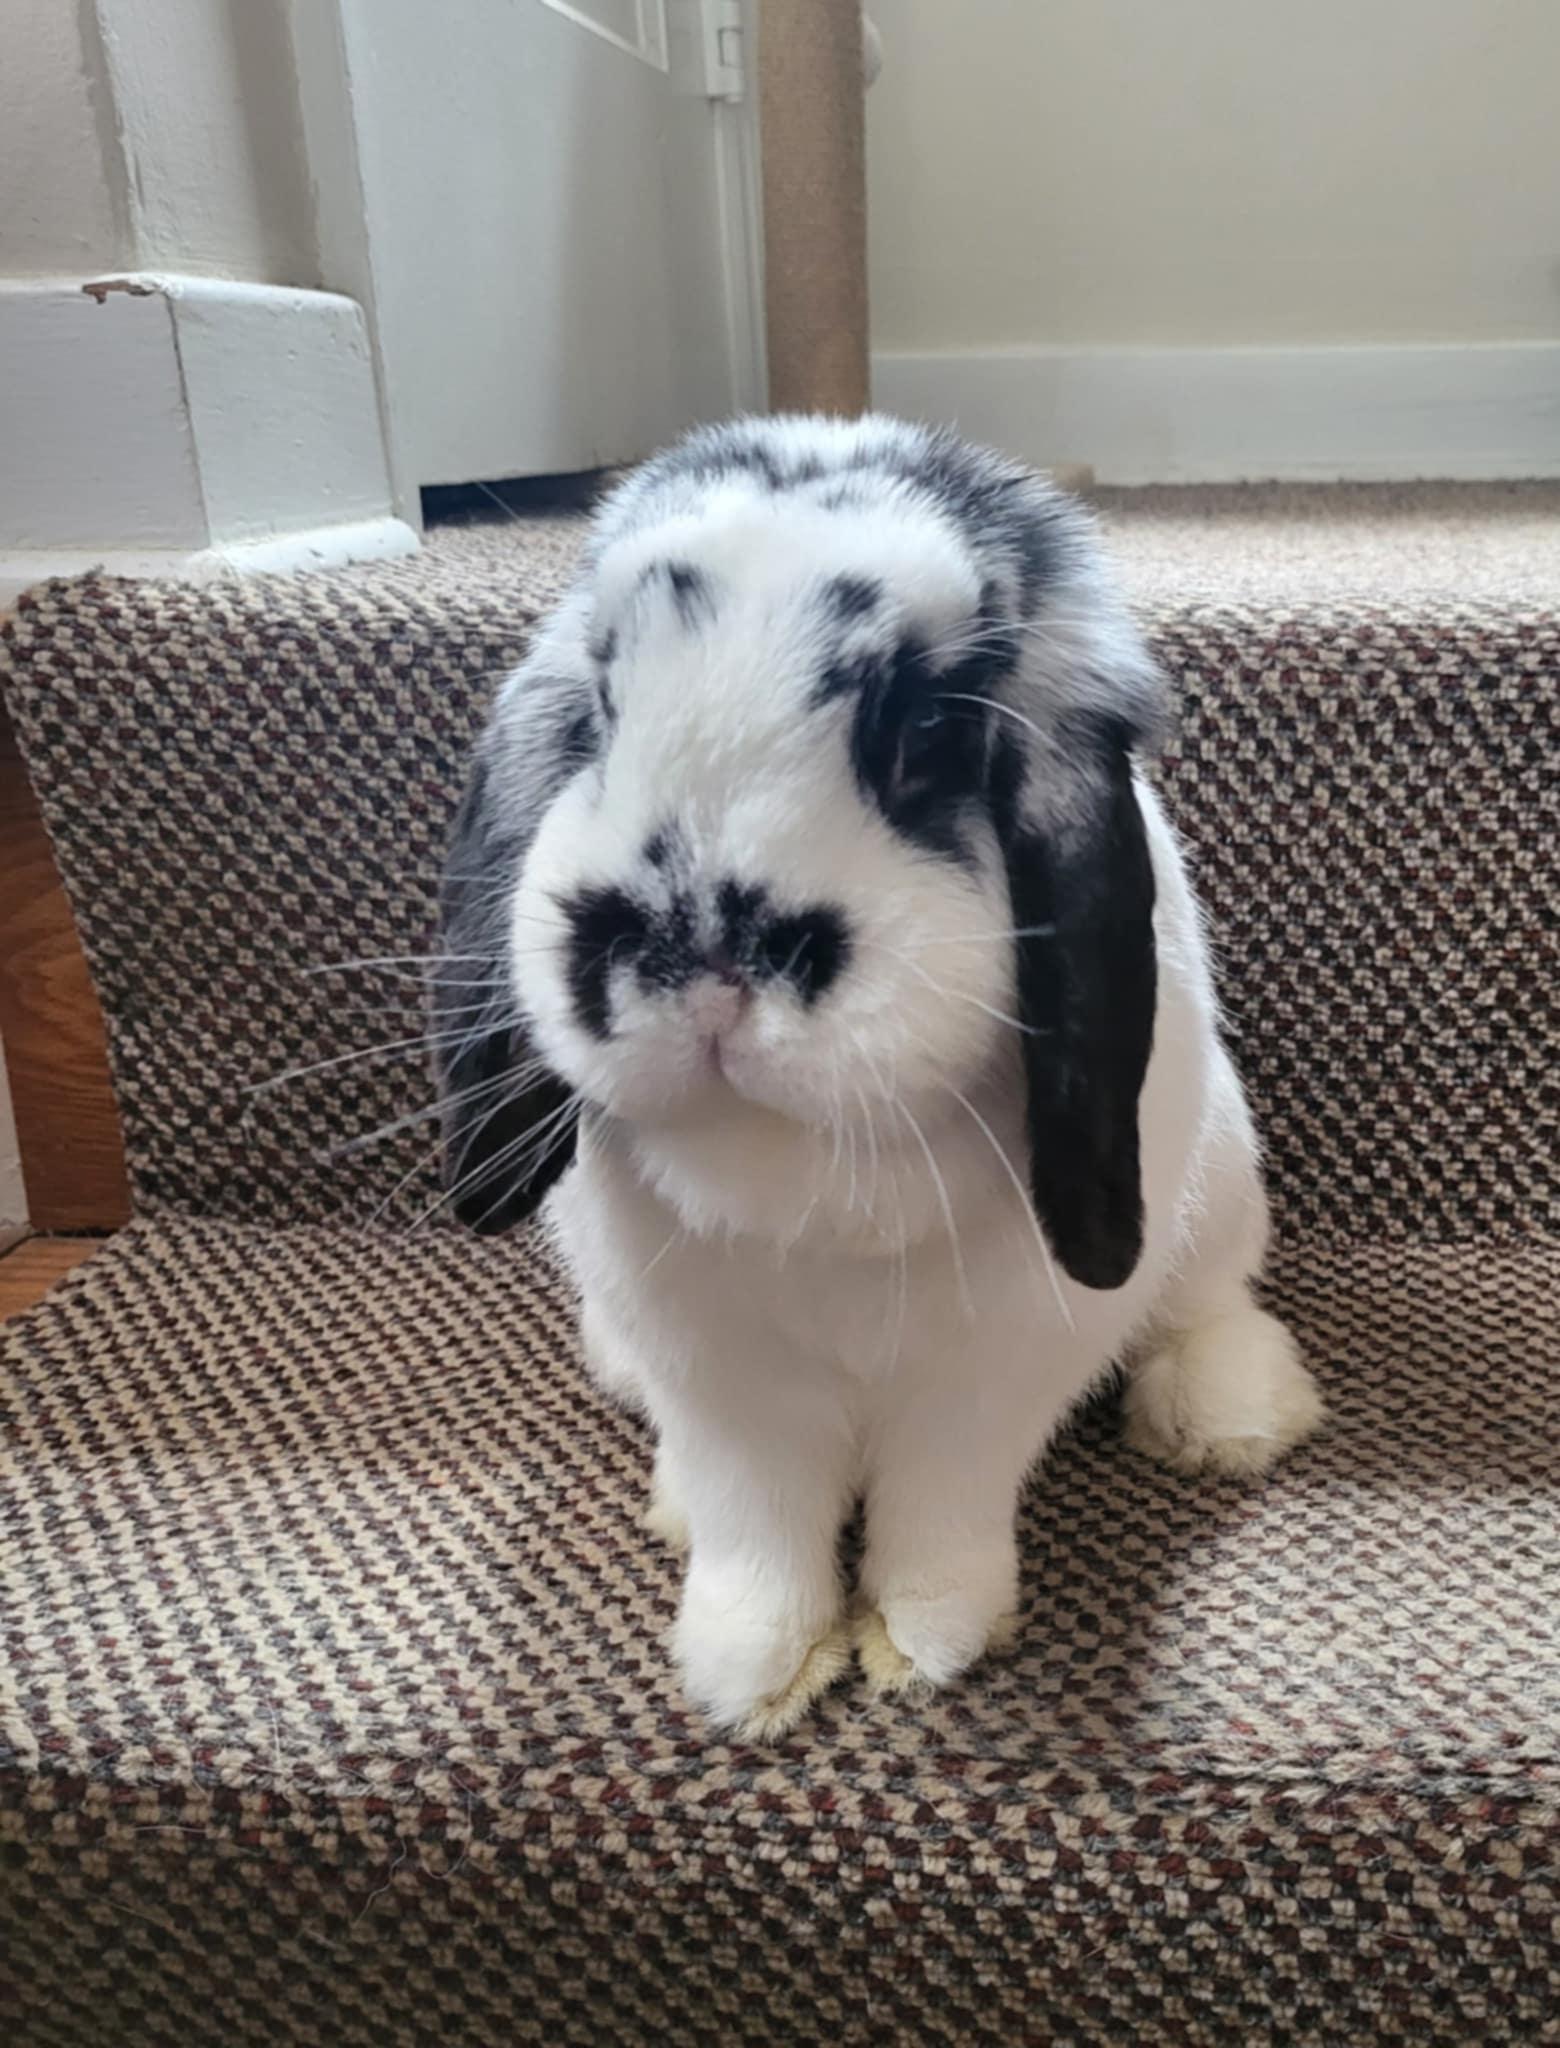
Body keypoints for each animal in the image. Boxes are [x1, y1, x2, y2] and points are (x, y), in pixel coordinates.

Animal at [433, 414, 1324, 1738]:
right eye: (601, 702)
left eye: (927, 728)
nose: (703, 955)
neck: (803, 1165)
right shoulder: (719, 1373)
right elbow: (759, 1522)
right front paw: (754, 1673)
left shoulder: (998, 1362)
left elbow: (942, 1505)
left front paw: (926, 1642)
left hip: (1218, 1188)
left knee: (1207, 1302)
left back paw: (1228, 1418)